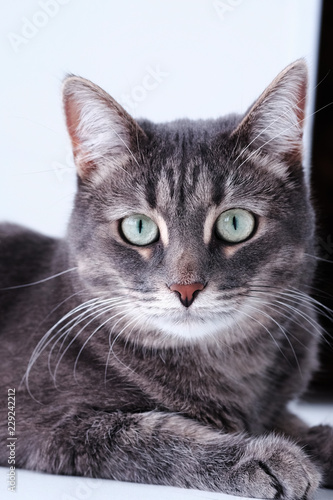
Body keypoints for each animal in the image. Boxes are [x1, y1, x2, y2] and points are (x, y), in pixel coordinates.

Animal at [0, 60, 330, 498]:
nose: (185, 287)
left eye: (236, 223)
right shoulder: (49, 424)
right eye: (138, 228)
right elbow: (157, 433)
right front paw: (263, 455)